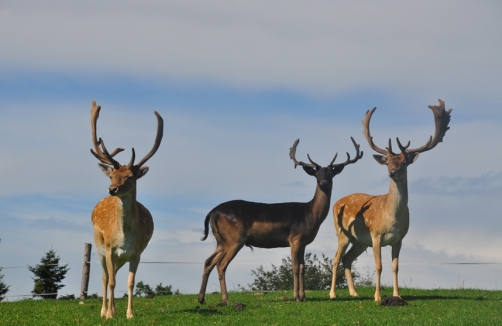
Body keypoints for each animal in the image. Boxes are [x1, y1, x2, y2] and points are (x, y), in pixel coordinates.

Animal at [88, 100, 163, 320]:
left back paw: (112, 309)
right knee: (105, 277)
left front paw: (129, 314)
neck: (124, 237)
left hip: (119, 258)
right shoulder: (109, 249)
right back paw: (104, 311)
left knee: (113, 275)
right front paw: (109, 315)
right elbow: (111, 281)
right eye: (112, 176)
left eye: (130, 177)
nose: (112, 189)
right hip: (98, 248)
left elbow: (130, 282)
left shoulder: (136, 252)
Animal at [198, 136, 362, 304]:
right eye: (317, 174)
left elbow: (303, 268)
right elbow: (295, 267)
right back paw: (226, 300)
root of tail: (212, 212)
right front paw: (296, 297)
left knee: (208, 262)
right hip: (235, 239)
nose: (323, 183)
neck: (310, 215)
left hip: (221, 240)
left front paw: (304, 297)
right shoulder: (294, 238)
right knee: (221, 264)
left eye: (330, 174)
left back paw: (201, 298)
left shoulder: (303, 242)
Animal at [330, 98, 452, 300]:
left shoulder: (400, 238)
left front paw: (397, 296)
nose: (392, 172)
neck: (391, 218)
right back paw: (333, 294)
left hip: (359, 241)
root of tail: (336, 202)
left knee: (347, 259)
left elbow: (395, 267)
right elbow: (379, 266)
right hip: (342, 233)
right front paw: (378, 297)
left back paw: (354, 293)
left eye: (404, 162)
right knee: (336, 258)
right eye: (387, 162)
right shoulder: (376, 235)